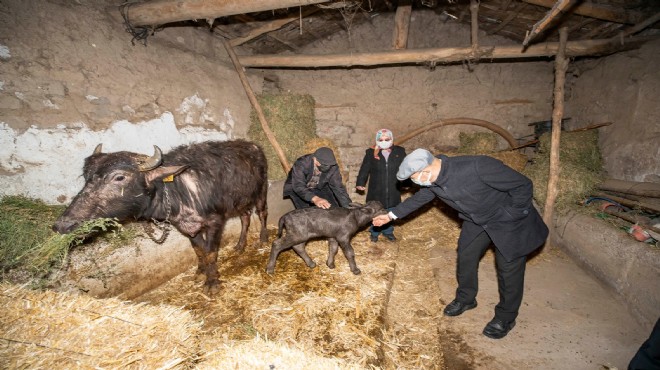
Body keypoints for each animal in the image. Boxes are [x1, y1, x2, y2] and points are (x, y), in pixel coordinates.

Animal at [52, 139, 266, 294]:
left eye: (119, 177)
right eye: (86, 177)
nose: (62, 225)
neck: (178, 191)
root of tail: (253, 146)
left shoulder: (215, 222)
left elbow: (211, 252)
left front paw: (212, 283)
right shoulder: (186, 227)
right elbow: (199, 250)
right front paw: (201, 272)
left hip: (260, 194)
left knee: (262, 214)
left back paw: (262, 239)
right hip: (241, 201)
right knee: (245, 218)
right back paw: (240, 245)